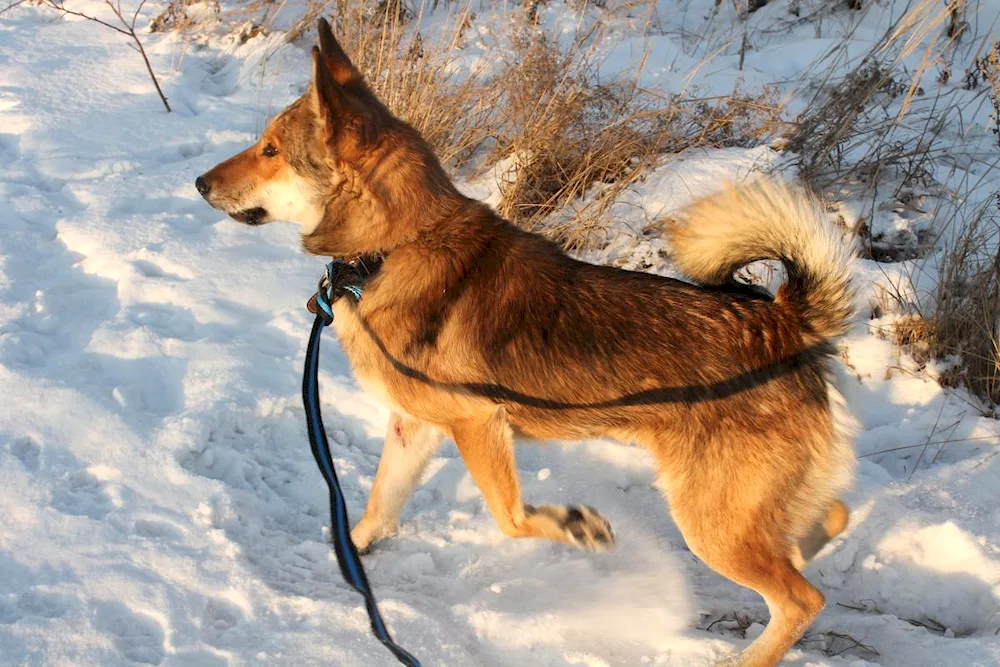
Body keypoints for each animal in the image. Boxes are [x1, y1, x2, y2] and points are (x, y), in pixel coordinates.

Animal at [197, 18, 860, 664]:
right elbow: (379, 507)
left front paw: (573, 525)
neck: (394, 248)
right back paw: (801, 547)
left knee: (802, 600)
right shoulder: (416, 428)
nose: (200, 182)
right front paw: (351, 559)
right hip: (746, 509)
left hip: (710, 523)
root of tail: (783, 322)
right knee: (829, 519)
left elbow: (511, 518)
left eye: (271, 150)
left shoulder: (477, 424)